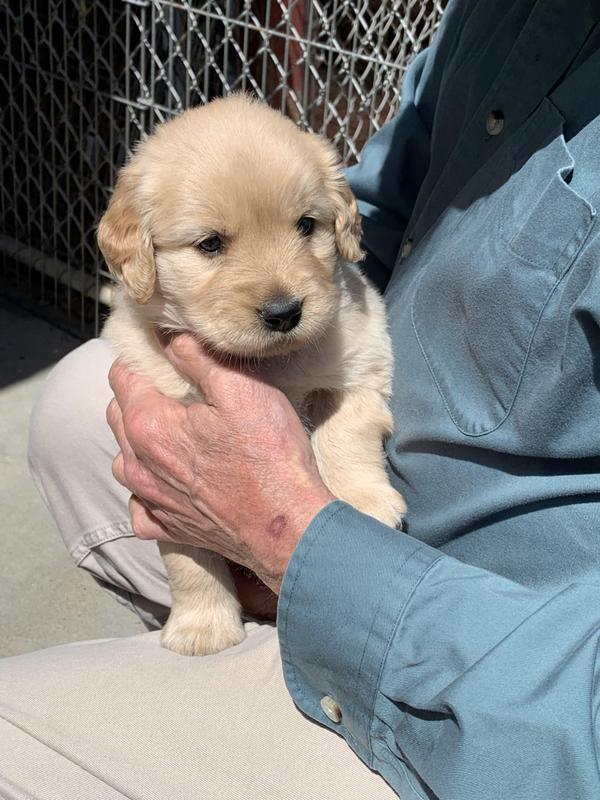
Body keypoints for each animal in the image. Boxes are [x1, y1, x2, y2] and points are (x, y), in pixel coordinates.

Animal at [101, 94, 406, 656]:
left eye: (306, 225)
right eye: (210, 244)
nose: (285, 313)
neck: (268, 364)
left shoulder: (363, 359)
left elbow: (342, 431)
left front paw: (363, 501)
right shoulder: (161, 462)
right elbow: (188, 556)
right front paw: (202, 626)